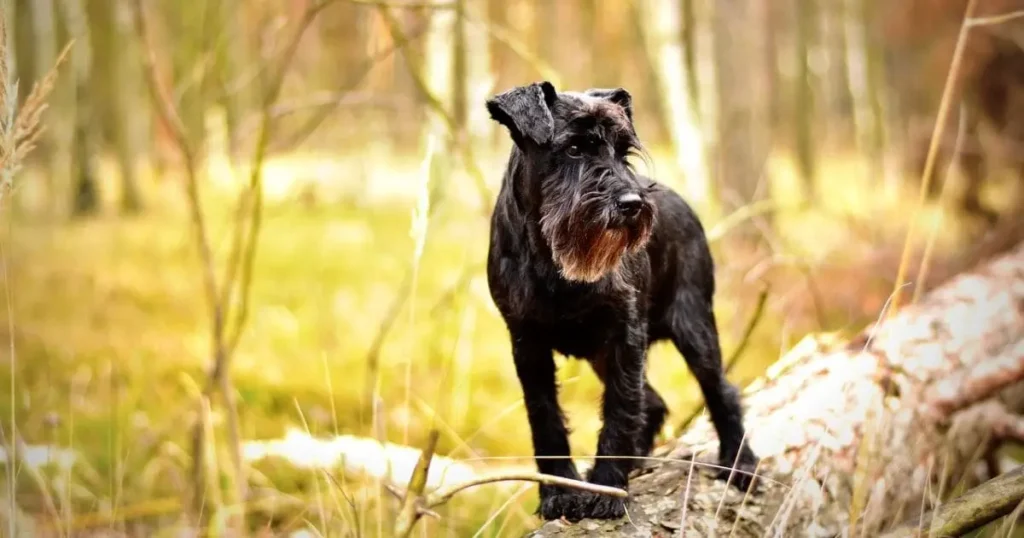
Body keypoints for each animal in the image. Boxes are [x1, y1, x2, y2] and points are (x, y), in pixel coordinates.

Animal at [483, 80, 757, 520]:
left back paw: (740, 463)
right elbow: (545, 417)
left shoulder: (624, 337)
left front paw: (607, 489)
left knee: (721, 391)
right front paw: (559, 492)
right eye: (574, 148)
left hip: (695, 328)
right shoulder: (527, 344)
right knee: (656, 402)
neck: (553, 261)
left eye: (623, 150)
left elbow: (620, 408)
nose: (632, 204)